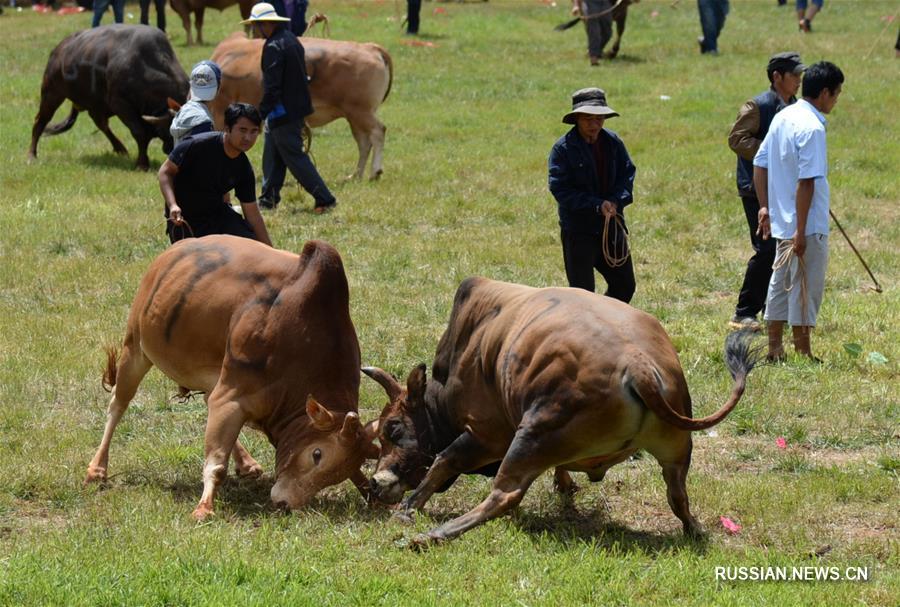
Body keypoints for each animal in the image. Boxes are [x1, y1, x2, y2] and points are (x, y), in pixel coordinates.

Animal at [27, 24, 188, 170]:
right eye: (172, 131)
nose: (173, 150)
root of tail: (58, 49)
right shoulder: (120, 104)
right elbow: (140, 133)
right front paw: (142, 164)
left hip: (96, 104)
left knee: (100, 123)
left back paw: (120, 149)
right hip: (51, 93)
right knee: (40, 121)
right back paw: (31, 155)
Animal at [213, 33, 396, 180]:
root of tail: (369, 47)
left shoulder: (221, 111)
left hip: (360, 111)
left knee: (378, 132)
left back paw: (375, 172)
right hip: (354, 116)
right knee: (364, 142)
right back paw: (356, 175)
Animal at [364, 278, 760, 548]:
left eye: (393, 429)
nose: (375, 484)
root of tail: (639, 365)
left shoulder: (487, 434)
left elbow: (442, 461)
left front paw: (409, 508)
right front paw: (564, 484)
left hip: (528, 437)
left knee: (503, 496)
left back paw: (432, 536)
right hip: (676, 449)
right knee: (678, 495)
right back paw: (694, 529)